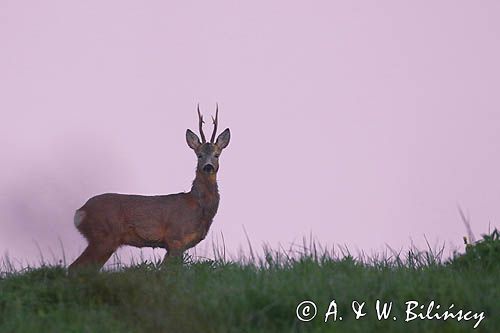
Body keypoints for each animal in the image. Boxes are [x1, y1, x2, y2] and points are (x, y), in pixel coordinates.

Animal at [68, 105, 230, 272]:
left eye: (217, 155)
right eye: (199, 155)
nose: (208, 167)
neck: (198, 206)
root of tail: (80, 211)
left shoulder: (175, 245)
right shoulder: (175, 237)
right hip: (103, 236)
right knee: (74, 267)